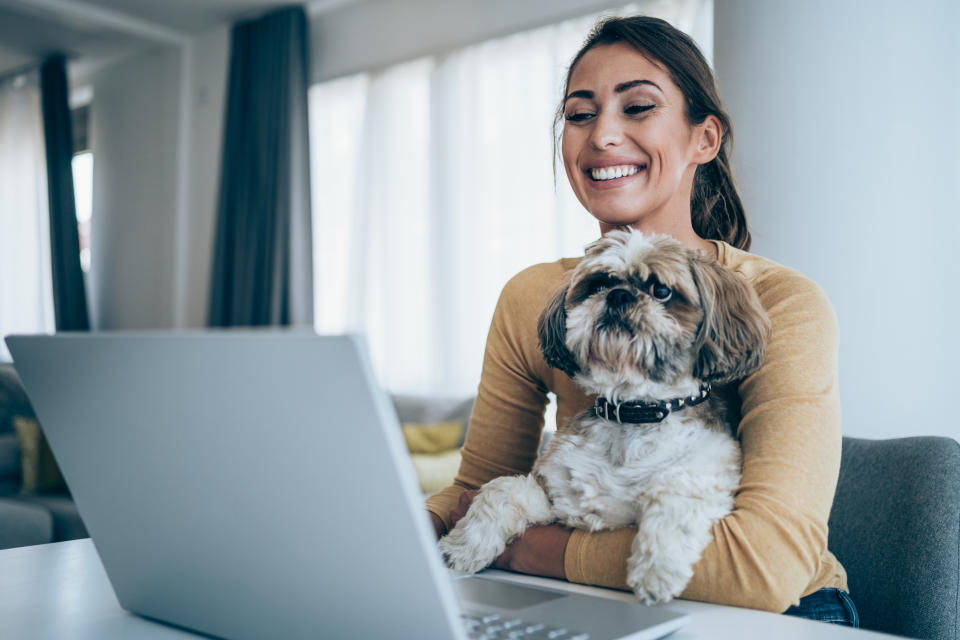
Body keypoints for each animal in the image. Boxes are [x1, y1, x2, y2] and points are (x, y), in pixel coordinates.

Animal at [438, 230, 768, 604]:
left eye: (662, 291)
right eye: (598, 284)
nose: (618, 294)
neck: (633, 413)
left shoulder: (707, 475)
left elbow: (674, 493)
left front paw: (656, 570)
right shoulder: (558, 498)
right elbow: (501, 490)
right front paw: (463, 546)